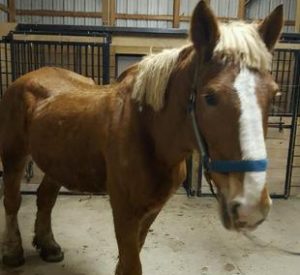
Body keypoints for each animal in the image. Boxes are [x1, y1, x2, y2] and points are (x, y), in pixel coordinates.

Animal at [0, 1, 282, 274]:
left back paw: (48, 246)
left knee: (45, 198)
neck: (148, 132)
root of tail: (28, 78)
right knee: (13, 201)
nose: (251, 206)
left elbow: (129, 259)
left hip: (57, 162)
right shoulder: (125, 210)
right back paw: (13, 252)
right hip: (13, 155)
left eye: (274, 95)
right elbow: (131, 264)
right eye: (210, 97)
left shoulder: (151, 210)